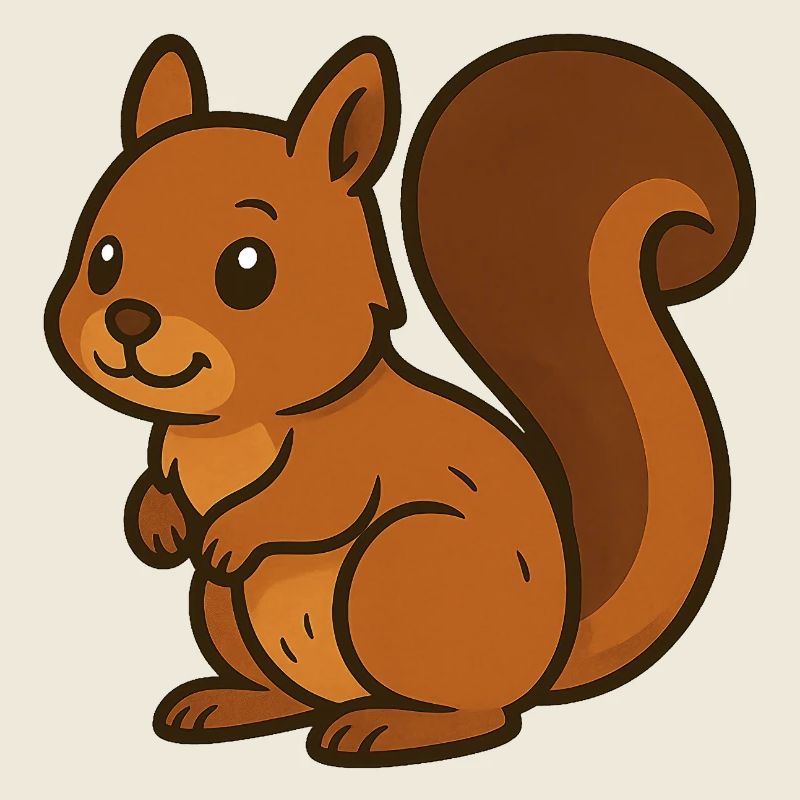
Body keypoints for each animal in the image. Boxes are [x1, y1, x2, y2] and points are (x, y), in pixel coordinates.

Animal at [44, 33, 754, 767]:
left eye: (249, 268)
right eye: (103, 258)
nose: (129, 320)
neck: (228, 426)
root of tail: (550, 659)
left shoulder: (351, 458)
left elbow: (311, 505)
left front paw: (231, 533)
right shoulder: (174, 449)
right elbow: (159, 482)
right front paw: (158, 525)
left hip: (403, 572)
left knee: (484, 712)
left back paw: (387, 727)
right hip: (228, 612)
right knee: (293, 694)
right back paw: (236, 702)